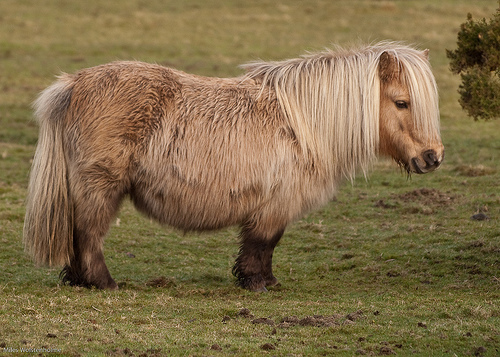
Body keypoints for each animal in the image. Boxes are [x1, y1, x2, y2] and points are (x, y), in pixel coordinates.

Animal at [24, 43, 446, 290]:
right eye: (402, 102)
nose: (433, 157)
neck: (304, 125)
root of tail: (72, 84)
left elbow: (262, 245)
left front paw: (260, 281)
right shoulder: (275, 205)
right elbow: (263, 243)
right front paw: (259, 283)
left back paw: (78, 280)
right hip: (100, 187)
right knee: (88, 234)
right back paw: (102, 282)